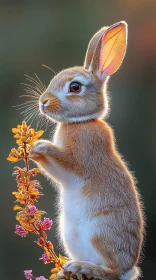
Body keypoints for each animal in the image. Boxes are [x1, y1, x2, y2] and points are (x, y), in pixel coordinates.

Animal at [29, 21, 144, 280]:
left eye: (75, 87)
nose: (43, 101)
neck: (81, 122)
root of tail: (129, 269)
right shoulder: (61, 173)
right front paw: (32, 150)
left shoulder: (79, 160)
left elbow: (66, 161)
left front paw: (42, 146)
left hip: (100, 232)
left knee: (111, 271)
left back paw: (81, 267)